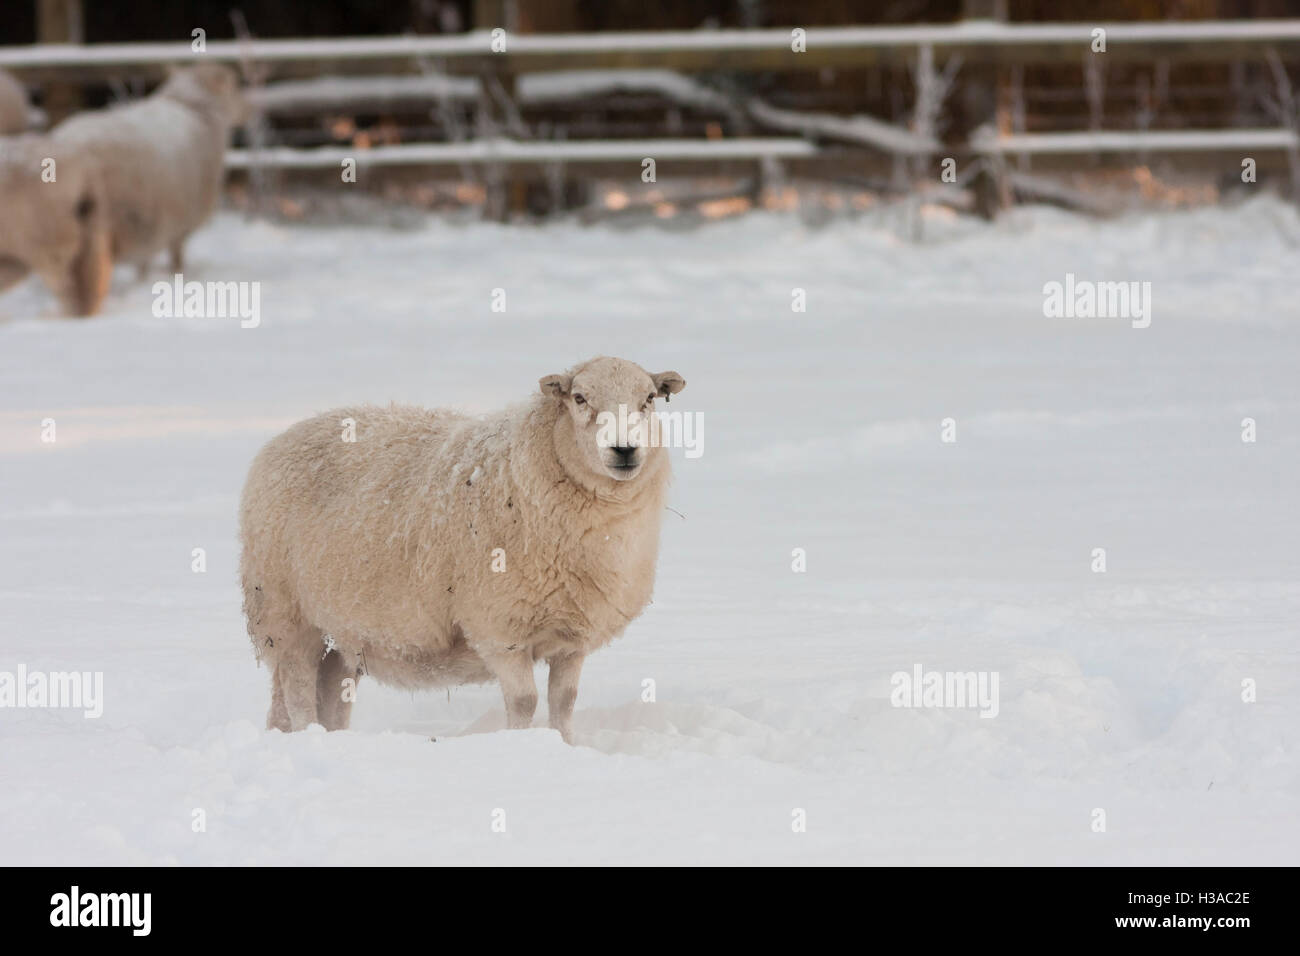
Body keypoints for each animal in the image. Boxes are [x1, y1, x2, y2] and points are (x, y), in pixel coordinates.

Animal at [52, 62, 244, 277]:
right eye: (234, 86)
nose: (247, 110)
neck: (190, 104)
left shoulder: (150, 225)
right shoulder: (174, 223)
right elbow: (174, 256)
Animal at [244, 356, 691, 738]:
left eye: (648, 399)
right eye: (580, 398)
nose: (624, 449)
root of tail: (284, 436)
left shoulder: (572, 637)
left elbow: (564, 702)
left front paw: (564, 745)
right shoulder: (500, 629)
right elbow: (525, 702)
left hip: (339, 631)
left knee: (330, 692)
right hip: (287, 616)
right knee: (299, 691)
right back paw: (310, 735)